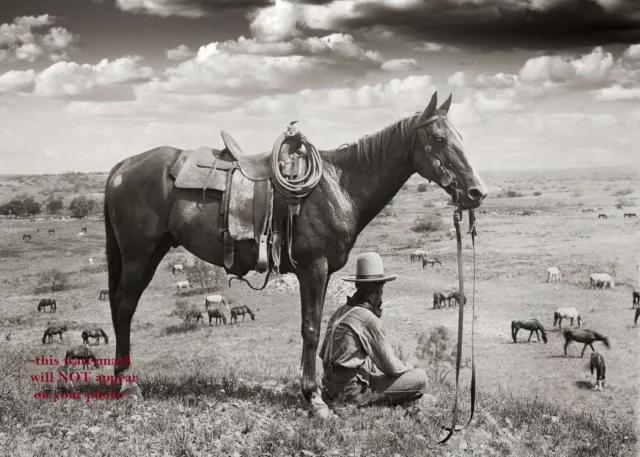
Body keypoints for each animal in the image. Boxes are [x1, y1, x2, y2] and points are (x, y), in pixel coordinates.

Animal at [102, 90, 488, 416]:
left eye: (460, 137)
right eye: (439, 139)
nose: (476, 192)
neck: (339, 186)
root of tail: (122, 167)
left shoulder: (322, 271)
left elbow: (316, 327)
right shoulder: (313, 268)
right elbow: (311, 329)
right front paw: (314, 399)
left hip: (153, 252)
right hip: (138, 255)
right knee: (124, 307)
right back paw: (128, 385)